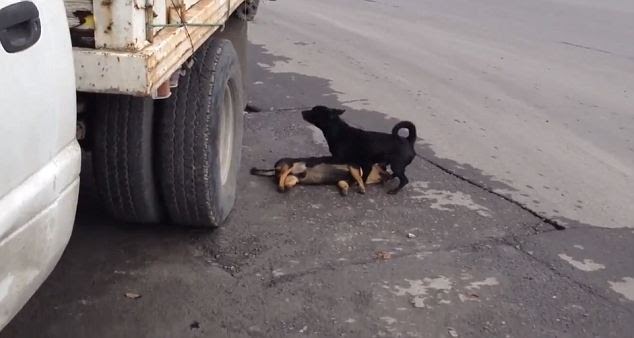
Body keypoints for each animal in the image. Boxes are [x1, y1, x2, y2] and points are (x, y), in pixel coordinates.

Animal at [249, 156, 388, 195]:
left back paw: (286, 186)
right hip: (288, 164)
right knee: (283, 174)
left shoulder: (343, 180)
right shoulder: (353, 167)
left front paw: (344, 190)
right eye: (383, 169)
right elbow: (359, 178)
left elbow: (343, 184)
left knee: (286, 180)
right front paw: (362, 187)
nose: (391, 176)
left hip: (294, 178)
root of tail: (274, 169)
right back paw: (282, 187)